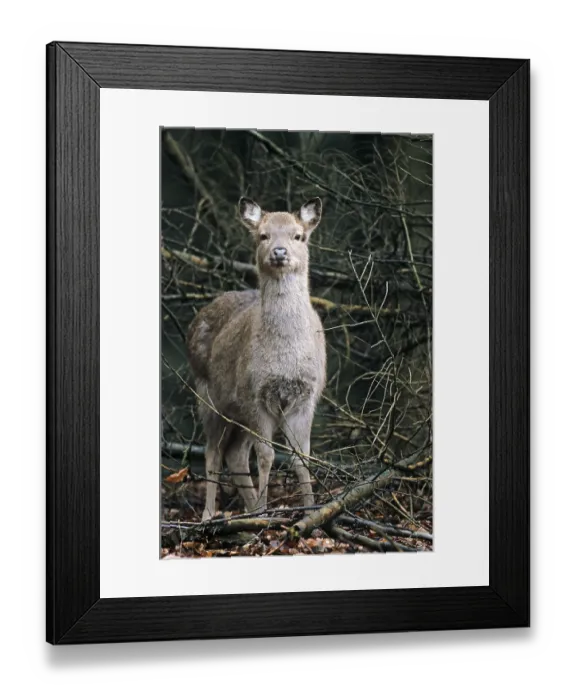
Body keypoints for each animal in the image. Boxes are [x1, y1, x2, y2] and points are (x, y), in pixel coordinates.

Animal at [186, 197, 326, 521]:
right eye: (263, 235)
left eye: (298, 235)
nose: (279, 251)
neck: (285, 359)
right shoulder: (256, 395)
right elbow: (266, 456)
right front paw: (266, 511)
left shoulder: (307, 397)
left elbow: (302, 457)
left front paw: (310, 509)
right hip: (208, 395)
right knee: (213, 453)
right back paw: (211, 514)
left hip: (238, 412)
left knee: (235, 453)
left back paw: (249, 510)